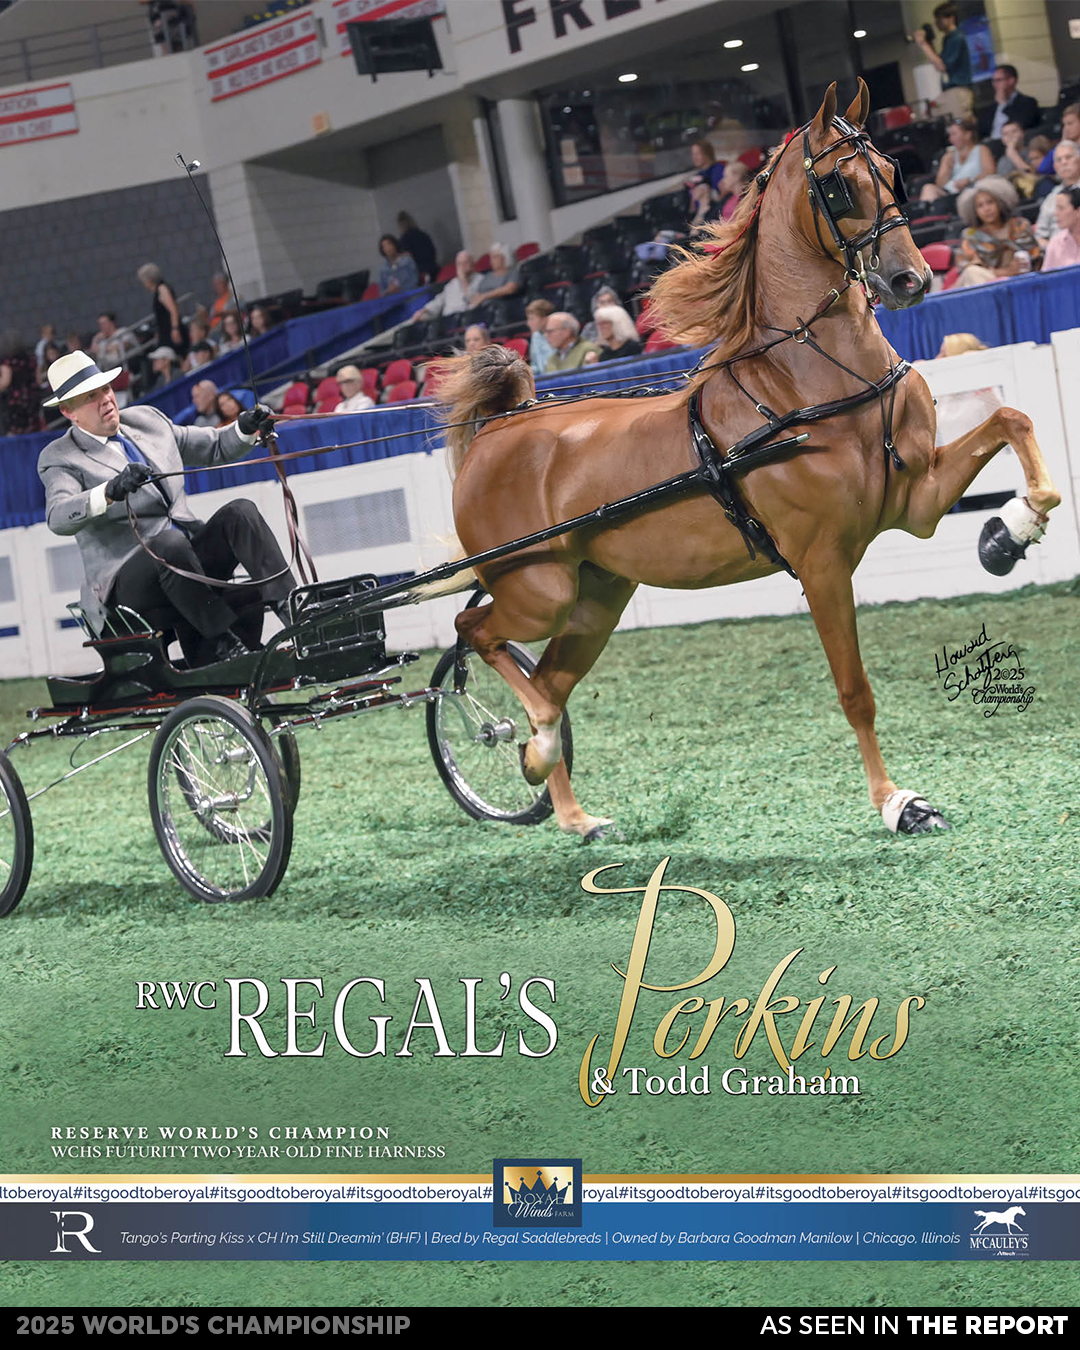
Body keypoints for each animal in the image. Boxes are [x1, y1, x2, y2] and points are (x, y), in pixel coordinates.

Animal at [432, 80, 1061, 842]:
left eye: (893, 171)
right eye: (839, 185)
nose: (909, 278)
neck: (811, 383)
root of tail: (500, 428)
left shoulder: (917, 500)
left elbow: (1012, 419)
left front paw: (1010, 532)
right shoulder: (821, 561)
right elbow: (855, 690)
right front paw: (897, 802)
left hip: (594, 598)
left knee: (547, 680)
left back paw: (571, 808)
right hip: (537, 591)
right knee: (476, 637)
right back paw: (533, 740)